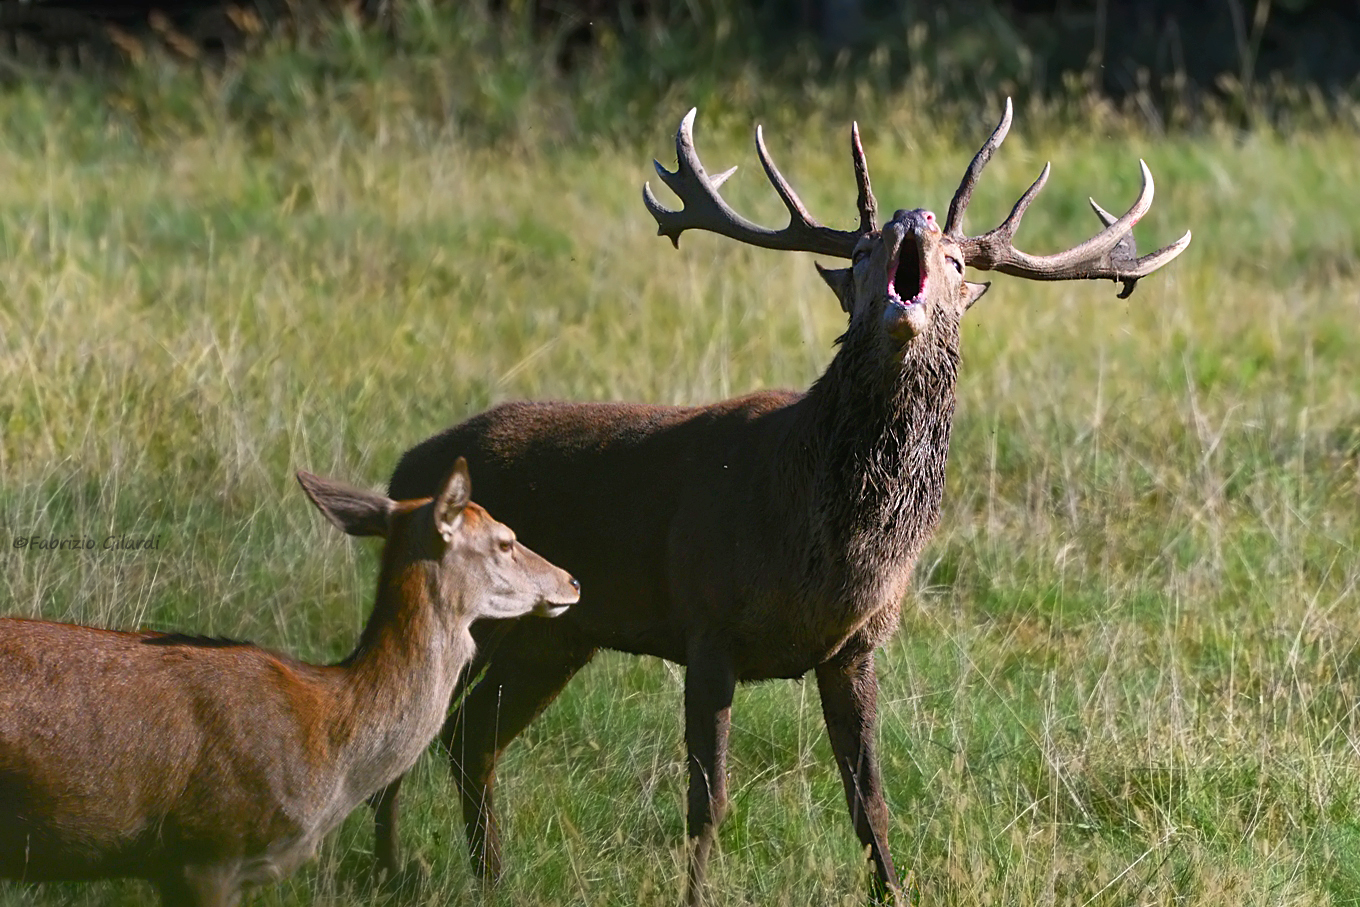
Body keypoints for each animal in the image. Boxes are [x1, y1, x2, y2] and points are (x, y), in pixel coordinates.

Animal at [369, 100, 1191, 904]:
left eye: (958, 261)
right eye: (860, 255)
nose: (912, 217)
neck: (825, 544)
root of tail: (404, 468)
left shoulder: (854, 647)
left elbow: (870, 801)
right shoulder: (706, 621)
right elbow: (708, 800)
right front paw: (696, 896)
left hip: (554, 637)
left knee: (467, 736)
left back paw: (484, 876)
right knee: (417, 725)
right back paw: (393, 868)